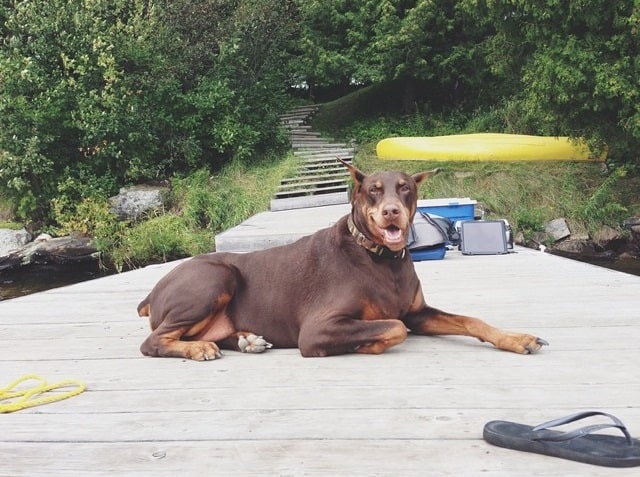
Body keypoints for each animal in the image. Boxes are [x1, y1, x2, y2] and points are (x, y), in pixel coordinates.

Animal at [138, 160, 548, 356]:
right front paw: (367, 344)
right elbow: (393, 326)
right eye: (373, 190)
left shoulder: (417, 311)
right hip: (215, 277)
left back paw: (245, 341)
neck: (383, 260)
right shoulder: (318, 328)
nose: (391, 212)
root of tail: (152, 292)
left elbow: (469, 320)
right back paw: (198, 348)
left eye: (405, 188)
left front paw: (516, 338)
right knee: (153, 342)